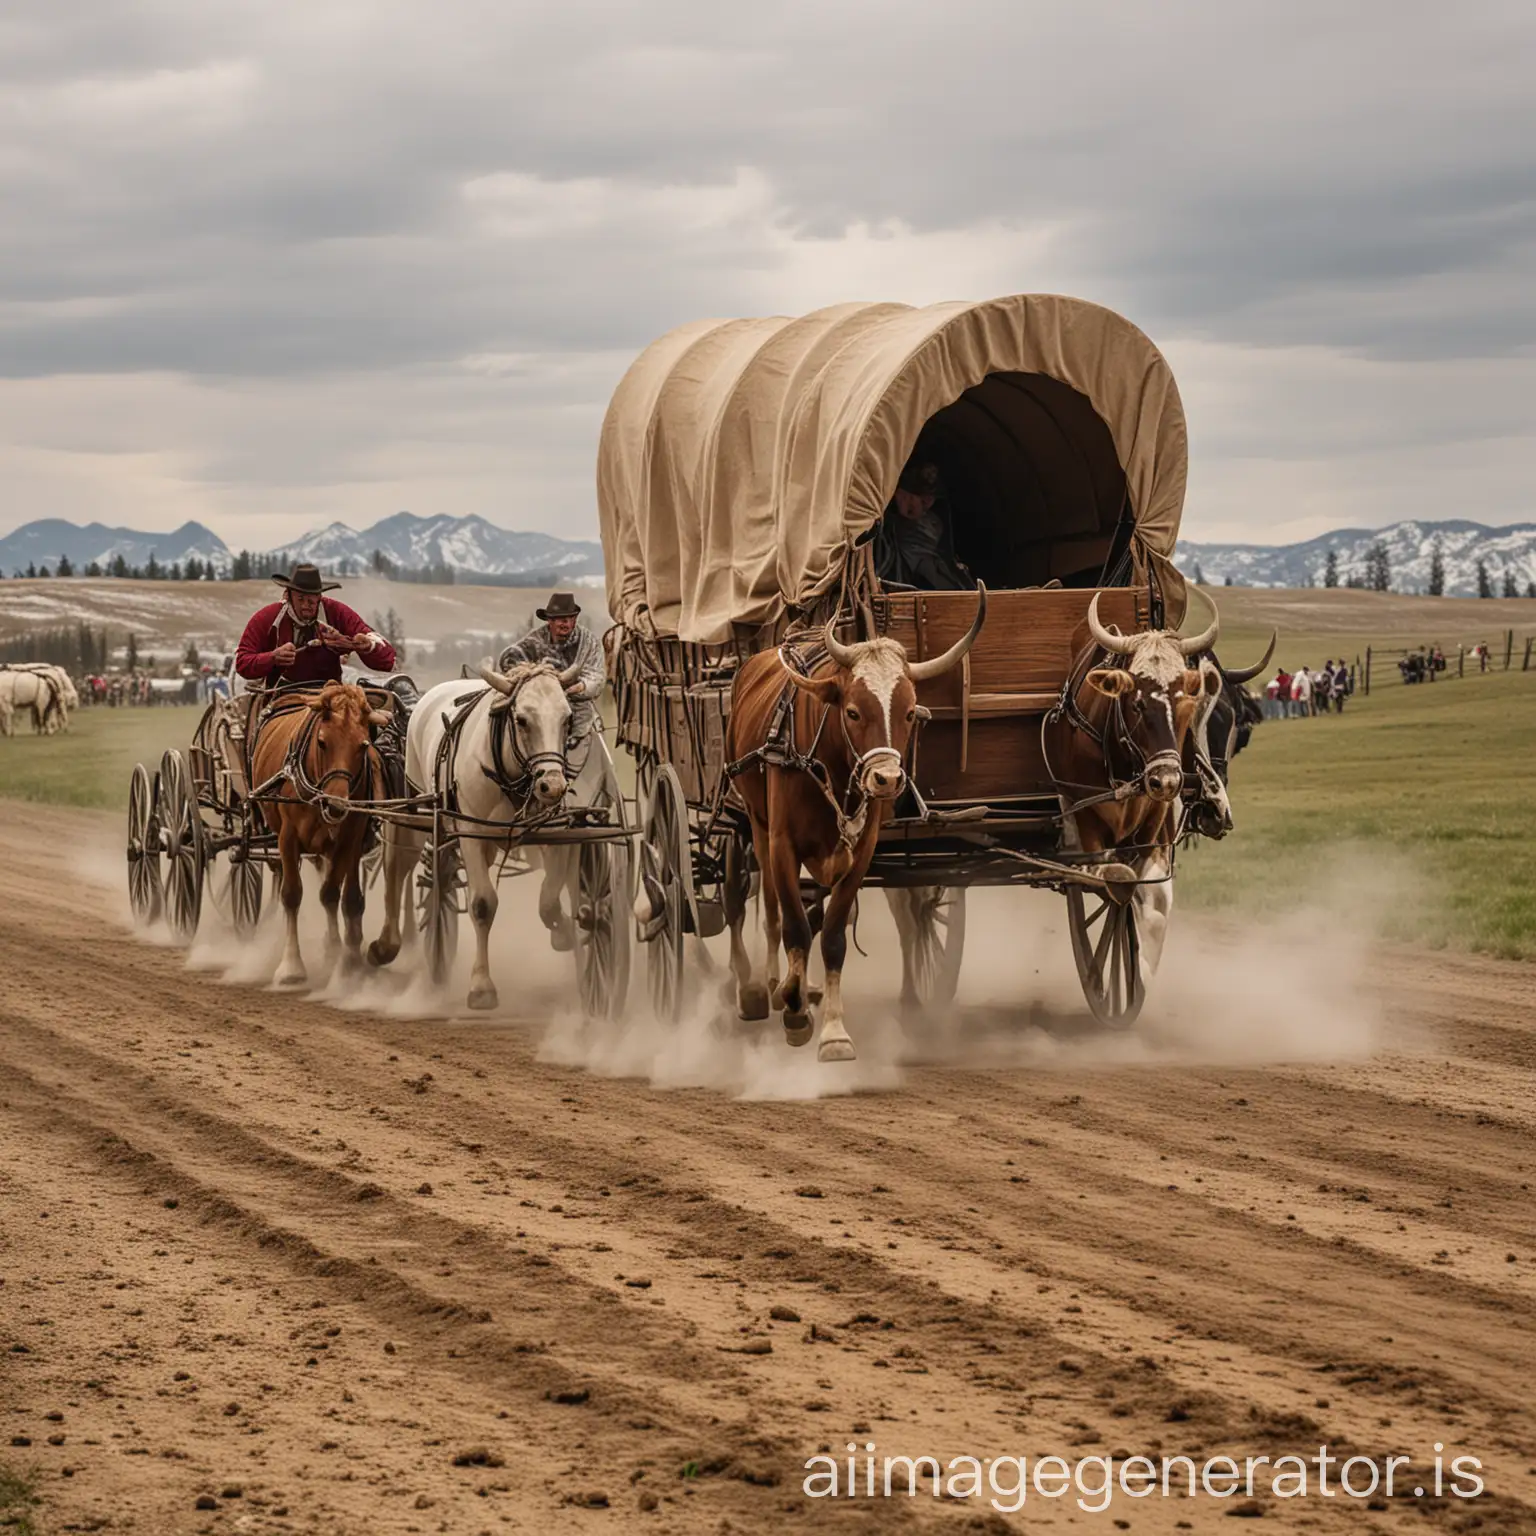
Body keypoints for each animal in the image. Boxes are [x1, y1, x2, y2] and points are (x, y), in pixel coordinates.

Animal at [248, 681, 387, 983]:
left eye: (364, 744)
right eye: (322, 741)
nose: (335, 805)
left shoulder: (349, 839)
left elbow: (333, 895)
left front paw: (338, 954)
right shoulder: (287, 838)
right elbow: (291, 894)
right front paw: (291, 965)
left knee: (344, 895)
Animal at [367, 657, 586, 1007]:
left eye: (567, 718)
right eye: (522, 720)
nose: (552, 786)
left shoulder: (552, 834)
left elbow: (550, 899)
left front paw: (564, 932)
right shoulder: (471, 834)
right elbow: (483, 904)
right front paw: (481, 986)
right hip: (414, 812)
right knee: (397, 868)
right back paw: (386, 945)